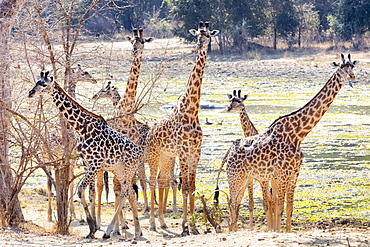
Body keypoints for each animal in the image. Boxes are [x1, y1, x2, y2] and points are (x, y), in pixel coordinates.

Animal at [27, 71, 142, 239]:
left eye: (43, 84)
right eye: (36, 82)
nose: (30, 92)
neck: (81, 128)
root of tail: (138, 153)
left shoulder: (96, 163)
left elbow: (81, 189)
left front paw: (92, 227)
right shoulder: (87, 162)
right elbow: (89, 192)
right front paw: (92, 228)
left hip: (127, 169)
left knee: (125, 193)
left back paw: (110, 231)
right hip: (119, 170)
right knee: (130, 193)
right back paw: (137, 231)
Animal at [145, 21, 220, 235]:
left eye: (208, 35)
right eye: (197, 36)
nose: (200, 45)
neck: (192, 111)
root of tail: (150, 132)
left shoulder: (195, 152)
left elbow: (192, 187)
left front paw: (194, 226)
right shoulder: (184, 152)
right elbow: (185, 188)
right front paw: (186, 225)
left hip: (166, 157)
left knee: (162, 180)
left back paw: (162, 222)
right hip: (154, 155)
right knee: (152, 182)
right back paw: (152, 223)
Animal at [223, 53, 358, 233]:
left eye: (352, 67)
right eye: (342, 68)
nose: (352, 76)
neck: (298, 134)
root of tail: (229, 153)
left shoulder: (294, 174)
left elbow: (288, 208)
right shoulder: (282, 174)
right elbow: (278, 206)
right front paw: (277, 231)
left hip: (244, 179)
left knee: (235, 205)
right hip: (236, 178)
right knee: (232, 204)